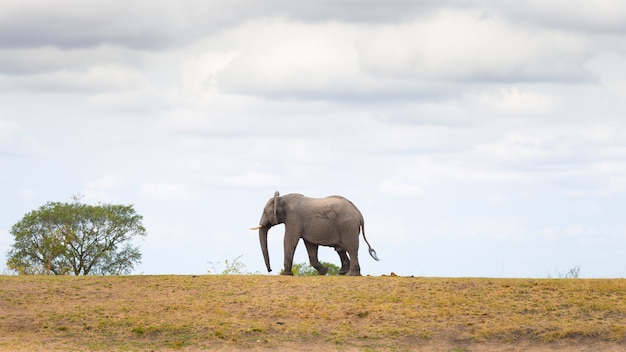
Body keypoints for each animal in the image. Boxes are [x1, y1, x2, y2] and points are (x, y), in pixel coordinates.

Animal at [247, 191, 376, 276]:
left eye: (264, 212)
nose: (270, 270)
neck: (282, 198)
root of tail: (359, 214)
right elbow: (310, 245)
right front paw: (323, 272)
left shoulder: (294, 219)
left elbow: (289, 240)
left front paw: (285, 274)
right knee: (340, 249)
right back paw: (342, 273)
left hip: (348, 226)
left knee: (351, 249)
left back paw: (351, 274)